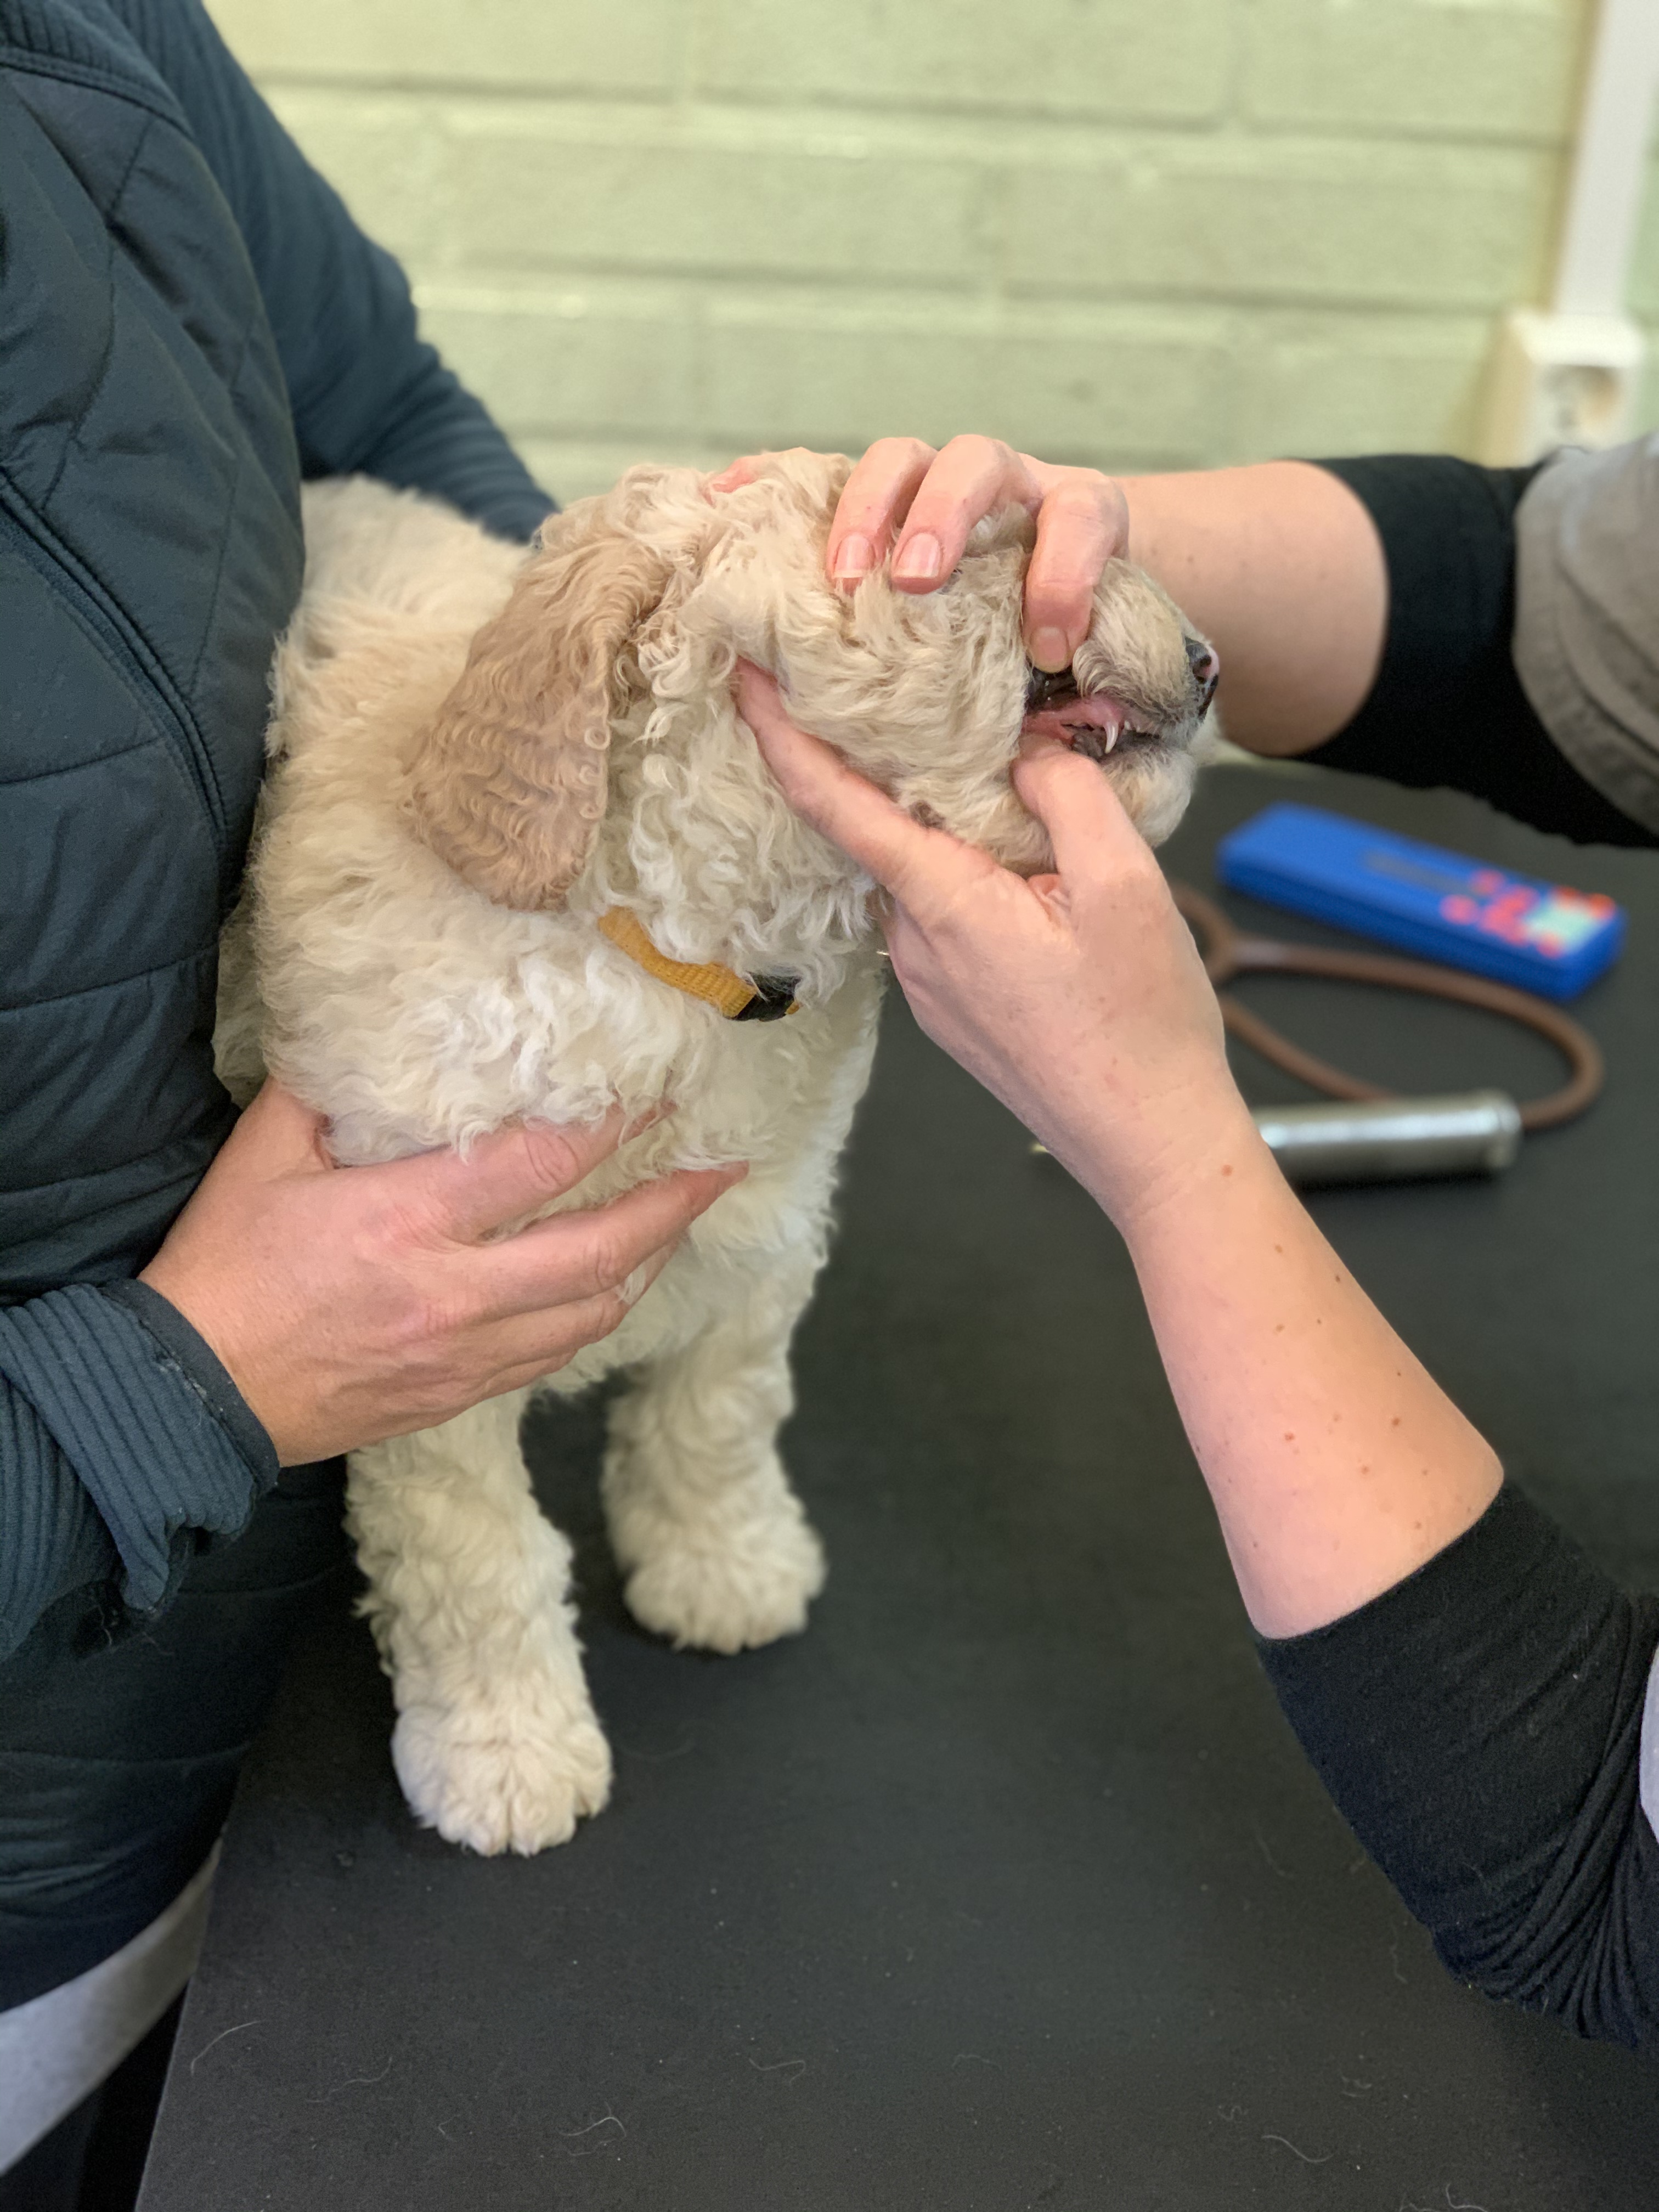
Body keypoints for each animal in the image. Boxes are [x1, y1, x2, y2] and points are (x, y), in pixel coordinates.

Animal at [216, 449, 1216, 1854]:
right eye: (971, 547)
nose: (1213, 664)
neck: (680, 949)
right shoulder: (425, 1323)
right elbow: (475, 1552)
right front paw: (506, 1748)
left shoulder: (760, 1238)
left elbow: (718, 1417)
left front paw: (722, 1567)